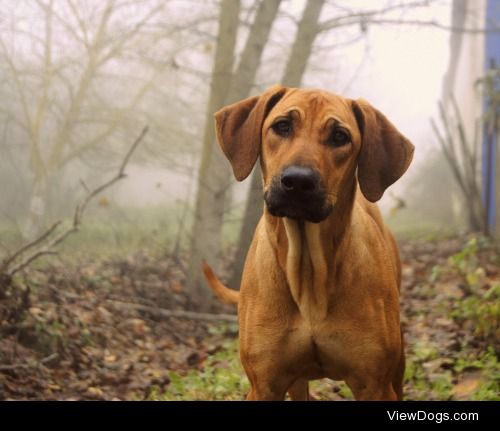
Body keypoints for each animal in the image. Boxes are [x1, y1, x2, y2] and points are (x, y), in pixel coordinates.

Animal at [202, 87, 414, 402]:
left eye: (340, 136)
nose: (298, 181)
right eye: (282, 126)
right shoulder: (265, 385)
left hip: (396, 362)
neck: (308, 271)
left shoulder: (374, 384)